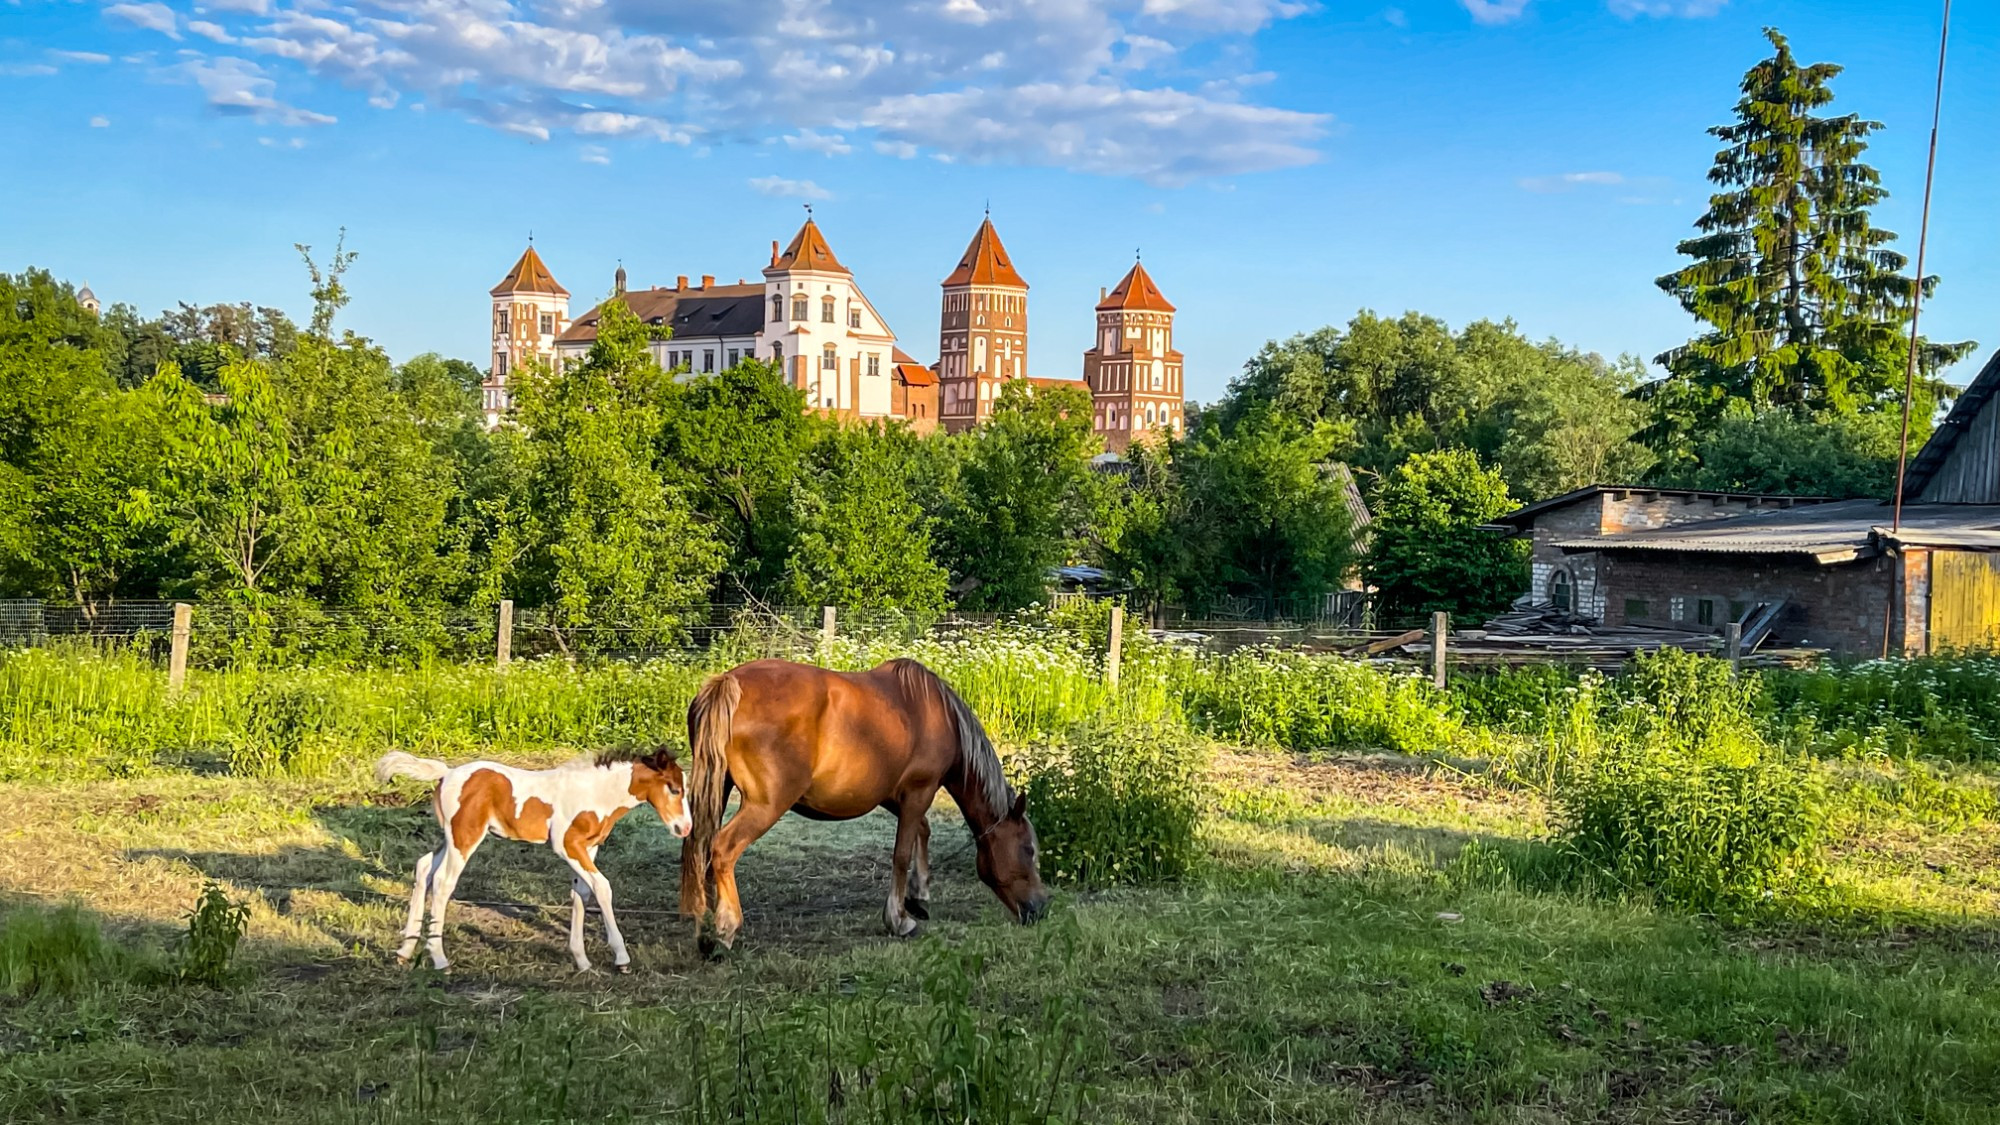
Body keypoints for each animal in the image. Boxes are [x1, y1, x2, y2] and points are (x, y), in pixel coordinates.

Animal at [376, 744, 696, 972]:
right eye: (674, 789)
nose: (684, 828)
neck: (595, 793)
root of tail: (447, 773)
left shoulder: (588, 848)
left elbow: (581, 893)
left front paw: (582, 960)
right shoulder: (566, 845)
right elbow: (602, 887)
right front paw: (621, 957)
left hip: (450, 838)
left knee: (424, 868)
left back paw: (405, 951)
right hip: (465, 837)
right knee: (443, 882)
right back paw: (440, 959)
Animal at [684, 652, 1056, 940]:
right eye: (1028, 849)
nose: (1041, 906)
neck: (939, 714)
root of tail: (729, 682)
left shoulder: (892, 794)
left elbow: (922, 830)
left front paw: (919, 895)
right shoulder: (918, 791)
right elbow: (901, 853)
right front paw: (899, 919)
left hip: (717, 790)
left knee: (701, 848)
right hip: (765, 805)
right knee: (723, 849)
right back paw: (727, 925)